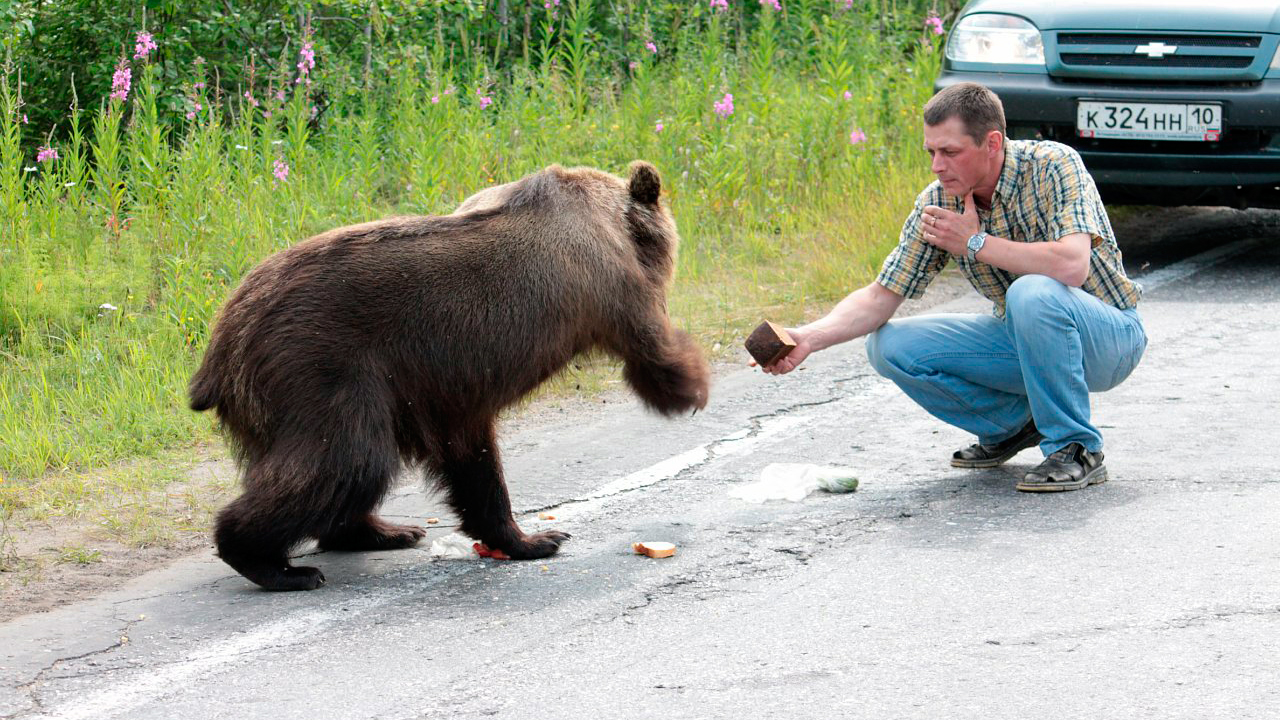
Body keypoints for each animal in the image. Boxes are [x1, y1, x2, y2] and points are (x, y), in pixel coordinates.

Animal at [189, 161, 711, 589]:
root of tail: (222, 341)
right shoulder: (610, 283)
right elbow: (651, 348)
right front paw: (692, 388)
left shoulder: (448, 393)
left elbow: (473, 464)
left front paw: (529, 537)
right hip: (320, 367)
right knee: (348, 459)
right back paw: (277, 565)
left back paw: (387, 530)